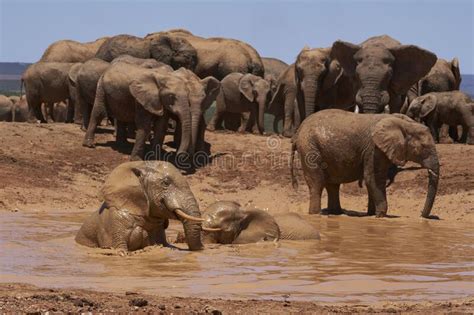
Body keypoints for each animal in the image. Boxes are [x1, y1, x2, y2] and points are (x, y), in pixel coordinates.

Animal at [290, 110, 438, 218]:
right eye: (423, 147)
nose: (421, 215)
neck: (404, 124)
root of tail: (298, 131)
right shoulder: (374, 149)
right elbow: (373, 179)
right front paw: (380, 216)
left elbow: (374, 180)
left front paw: (372, 214)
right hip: (309, 148)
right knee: (317, 183)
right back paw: (316, 214)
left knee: (332, 185)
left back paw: (336, 213)